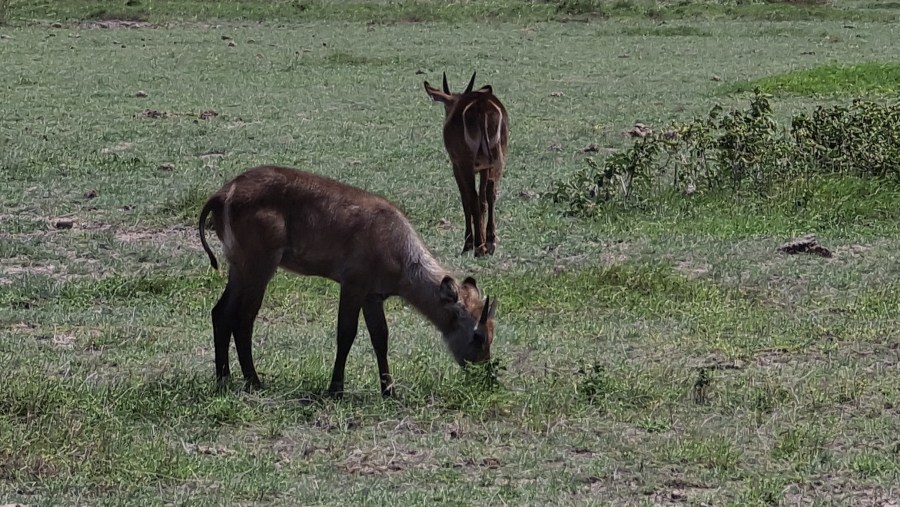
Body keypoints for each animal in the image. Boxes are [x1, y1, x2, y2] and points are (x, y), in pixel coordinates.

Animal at [196, 166, 500, 396]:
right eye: (478, 335)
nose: (485, 376)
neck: (401, 251)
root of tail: (224, 193)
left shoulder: (373, 295)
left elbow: (380, 338)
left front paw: (389, 390)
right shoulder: (353, 285)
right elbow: (346, 334)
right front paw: (336, 389)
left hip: (239, 267)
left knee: (221, 313)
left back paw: (224, 380)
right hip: (259, 268)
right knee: (243, 319)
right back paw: (254, 382)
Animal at [422, 70, 506, 258]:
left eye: (446, 107)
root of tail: (482, 107)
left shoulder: (457, 166)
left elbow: (465, 200)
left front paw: (468, 243)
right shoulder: (483, 168)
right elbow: (483, 202)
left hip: (466, 164)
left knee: (472, 198)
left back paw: (478, 246)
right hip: (497, 160)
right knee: (490, 193)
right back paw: (489, 242)